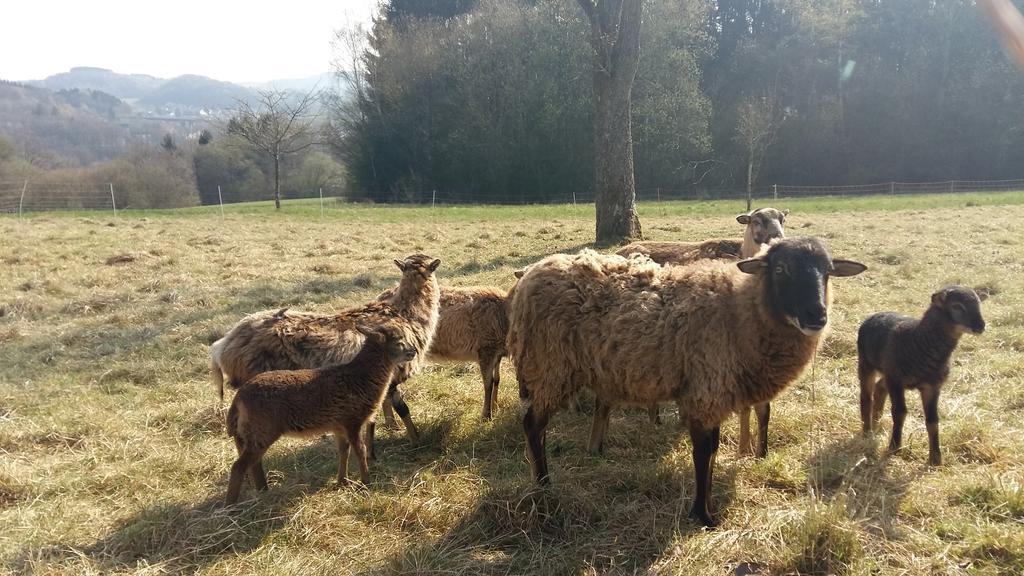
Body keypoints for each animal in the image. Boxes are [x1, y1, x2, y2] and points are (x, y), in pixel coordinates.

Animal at [211, 251, 440, 444]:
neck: (405, 312)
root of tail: (223, 344)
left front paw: (393, 428)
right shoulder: (395, 372)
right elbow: (402, 408)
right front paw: (415, 440)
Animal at [224, 323, 415, 502]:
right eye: (399, 341)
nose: (413, 351)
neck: (361, 376)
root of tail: (238, 399)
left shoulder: (339, 426)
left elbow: (343, 451)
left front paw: (343, 481)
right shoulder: (352, 421)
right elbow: (360, 450)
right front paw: (366, 483)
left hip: (249, 435)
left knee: (253, 464)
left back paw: (263, 492)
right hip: (263, 431)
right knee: (239, 466)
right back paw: (231, 506)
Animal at [509, 236, 864, 524]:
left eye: (828, 271)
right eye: (780, 269)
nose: (817, 316)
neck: (740, 312)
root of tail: (530, 276)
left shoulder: (713, 393)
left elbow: (714, 450)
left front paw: (707, 506)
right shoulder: (705, 391)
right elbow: (703, 453)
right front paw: (703, 515)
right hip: (552, 368)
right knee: (533, 425)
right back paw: (543, 485)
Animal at [856, 284, 983, 463]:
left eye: (978, 304)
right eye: (956, 306)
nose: (981, 326)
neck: (919, 340)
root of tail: (873, 315)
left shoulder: (932, 387)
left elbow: (933, 421)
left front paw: (936, 458)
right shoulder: (896, 380)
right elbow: (899, 412)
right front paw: (895, 447)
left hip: (887, 371)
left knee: (879, 388)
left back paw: (877, 424)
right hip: (866, 364)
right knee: (866, 398)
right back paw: (868, 432)